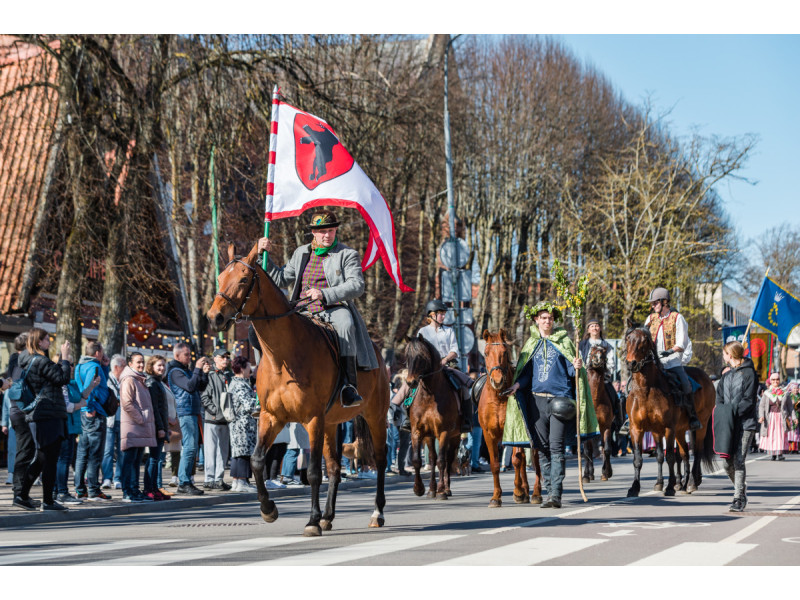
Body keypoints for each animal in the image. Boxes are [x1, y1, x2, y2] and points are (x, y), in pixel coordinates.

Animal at [205, 241, 390, 536]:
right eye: (221, 278)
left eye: (243, 279)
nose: (215, 317)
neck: (282, 357)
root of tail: (377, 354)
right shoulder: (272, 417)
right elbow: (257, 461)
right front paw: (268, 509)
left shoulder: (312, 419)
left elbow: (313, 472)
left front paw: (311, 520)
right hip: (330, 424)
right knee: (335, 467)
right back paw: (328, 516)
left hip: (374, 416)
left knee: (380, 460)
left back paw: (376, 513)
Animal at [406, 336, 462, 500]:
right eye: (407, 356)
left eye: (421, 357)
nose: (410, 382)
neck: (429, 395)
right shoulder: (419, 432)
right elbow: (419, 460)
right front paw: (420, 489)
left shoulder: (443, 432)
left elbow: (442, 462)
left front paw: (442, 491)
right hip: (431, 437)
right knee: (433, 458)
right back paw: (432, 489)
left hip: (455, 436)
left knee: (448, 460)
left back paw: (446, 489)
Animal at [478, 328, 548, 506]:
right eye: (486, 353)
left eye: (504, 352)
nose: (497, 380)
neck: (499, 397)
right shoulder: (488, 434)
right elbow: (495, 464)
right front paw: (496, 496)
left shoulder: (514, 430)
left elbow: (517, 460)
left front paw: (518, 491)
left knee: (534, 459)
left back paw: (535, 493)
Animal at [580, 344, 616, 480]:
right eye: (592, 352)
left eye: (603, 353)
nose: (598, 360)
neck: (595, 401)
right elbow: (587, 451)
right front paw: (586, 475)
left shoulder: (606, 426)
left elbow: (607, 449)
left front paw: (606, 472)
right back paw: (589, 474)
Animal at [620, 322, 716, 500]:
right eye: (628, 338)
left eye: (645, 340)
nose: (631, 363)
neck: (646, 389)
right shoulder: (639, 429)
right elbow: (642, 458)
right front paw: (636, 487)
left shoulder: (668, 428)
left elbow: (670, 456)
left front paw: (670, 487)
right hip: (681, 430)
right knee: (685, 453)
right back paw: (685, 483)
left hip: (701, 425)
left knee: (697, 451)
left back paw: (691, 482)